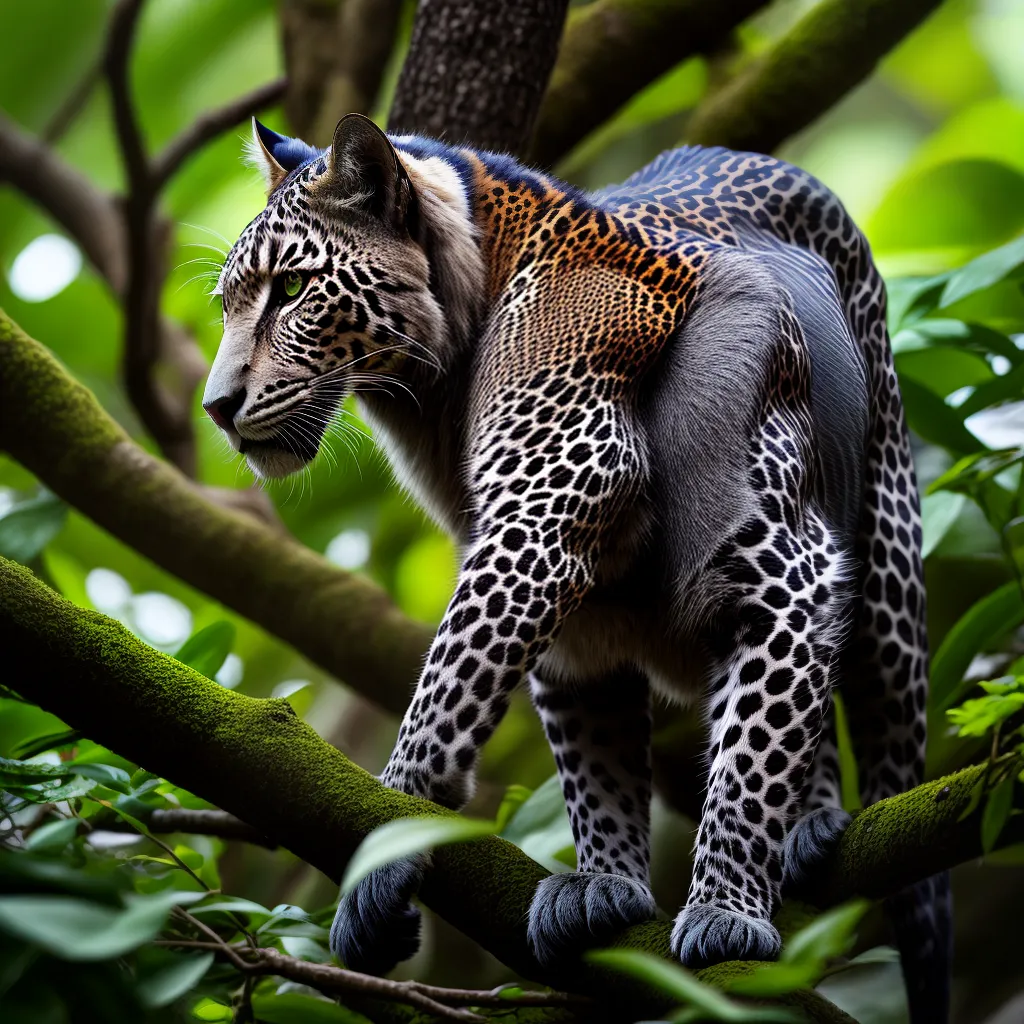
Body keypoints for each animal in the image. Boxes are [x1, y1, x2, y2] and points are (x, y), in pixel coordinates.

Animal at [203, 113, 951, 1023]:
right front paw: (605, 885)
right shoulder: (569, 601)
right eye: (231, 304)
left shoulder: (562, 530)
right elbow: (598, 762)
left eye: (290, 290)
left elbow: (742, 756)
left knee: (874, 739)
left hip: (884, 549)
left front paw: (726, 911)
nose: (217, 407)